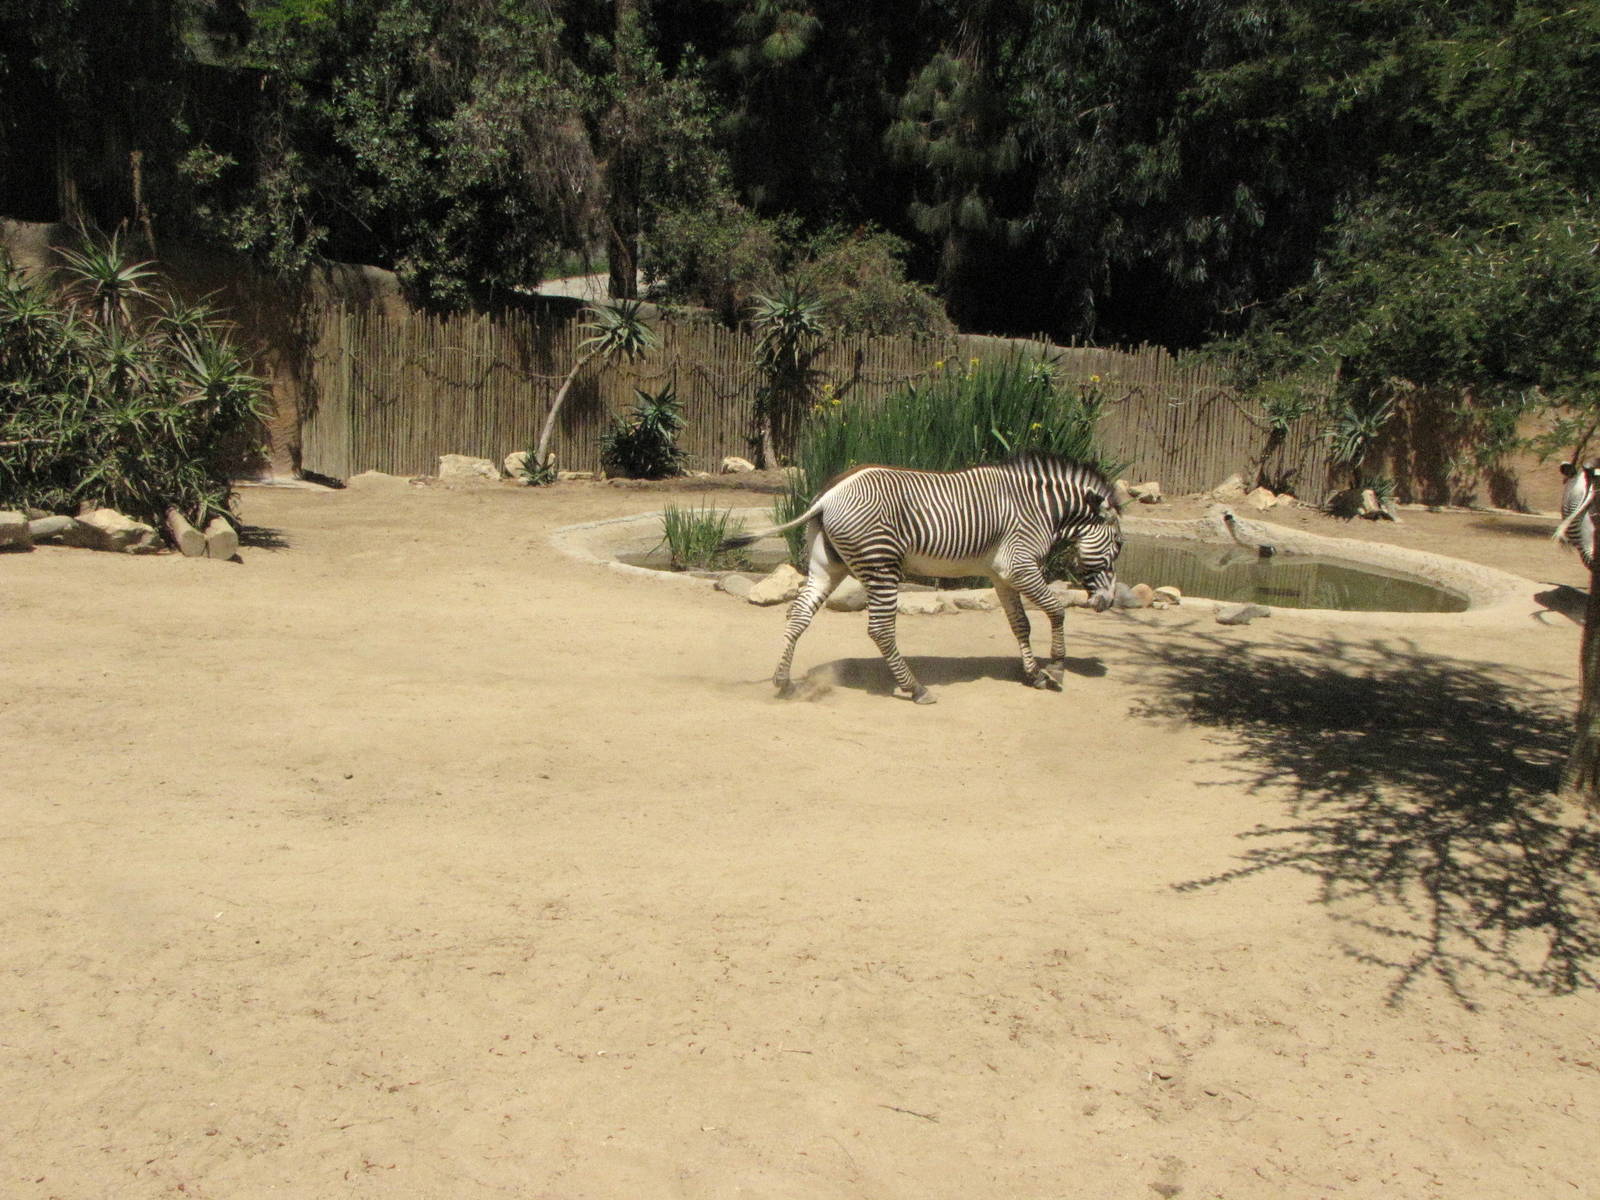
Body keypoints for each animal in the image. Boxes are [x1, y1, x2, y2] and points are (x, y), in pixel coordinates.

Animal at [724, 452, 1124, 704]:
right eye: (1119, 544)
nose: (1107, 603)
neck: (1039, 508)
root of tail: (828, 496)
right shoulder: (1020, 566)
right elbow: (1056, 610)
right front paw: (1056, 669)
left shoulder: (1001, 575)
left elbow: (1020, 625)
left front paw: (1035, 675)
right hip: (882, 565)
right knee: (880, 629)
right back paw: (916, 689)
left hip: (828, 566)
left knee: (798, 616)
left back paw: (783, 682)